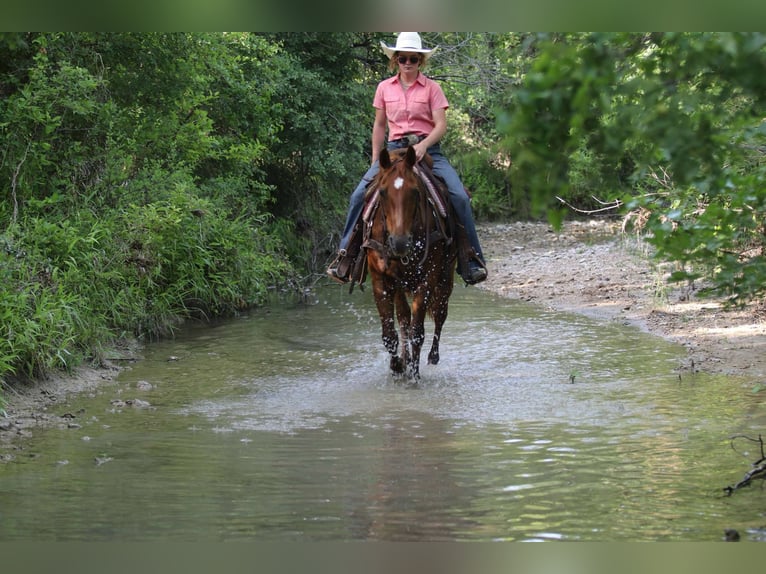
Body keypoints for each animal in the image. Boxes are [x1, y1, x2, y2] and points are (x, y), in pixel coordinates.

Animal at [363, 146, 458, 381]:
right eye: (382, 192)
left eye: (415, 192)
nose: (399, 243)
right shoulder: (380, 279)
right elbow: (391, 333)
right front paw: (398, 367)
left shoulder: (428, 278)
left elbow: (418, 332)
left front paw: (414, 374)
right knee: (404, 319)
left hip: (446, 277)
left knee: (440, 314)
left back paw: (432, 357)